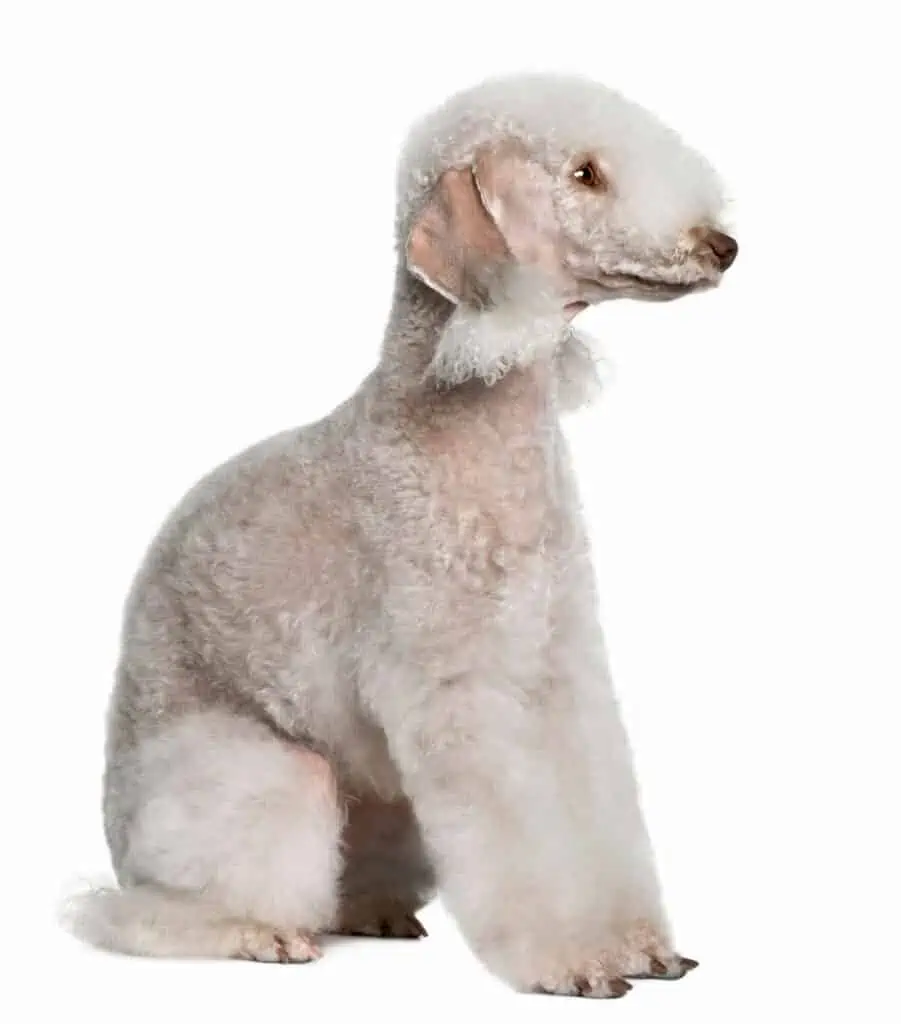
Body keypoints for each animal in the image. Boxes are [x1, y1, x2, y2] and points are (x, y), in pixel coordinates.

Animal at [67, 74, 737, 999]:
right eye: (585, 174)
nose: (722, 246)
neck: (456, 425)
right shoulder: (458, 686)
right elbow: (516, 833)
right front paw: (573, 960)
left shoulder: (558, 671)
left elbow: (592, 805)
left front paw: (636, 944)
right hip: (256, 776)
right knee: (138, 914)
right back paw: (254, 932)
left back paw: (372, 910)